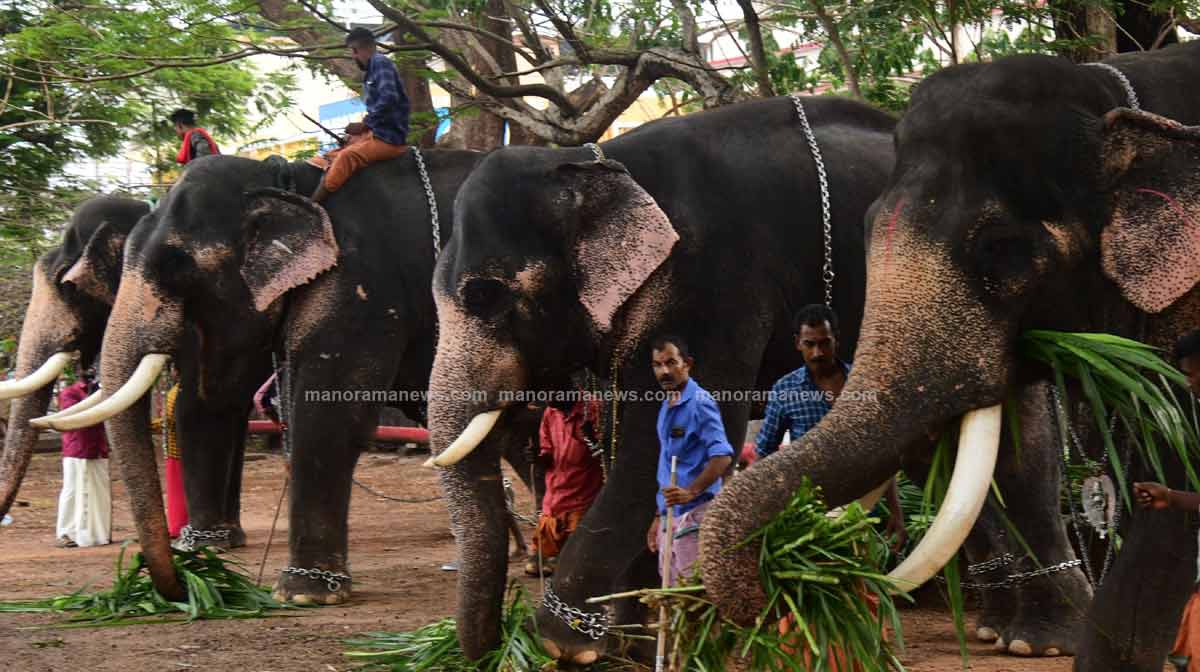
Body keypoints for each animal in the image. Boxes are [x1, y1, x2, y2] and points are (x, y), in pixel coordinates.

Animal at [50, 151, 549, 606]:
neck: (289, 180)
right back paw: (535, 560)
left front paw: (305, 593)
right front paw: (209, 552)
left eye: (176, 263)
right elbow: (214, 396)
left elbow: (328, 412)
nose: (174, 587)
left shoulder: (362, 283)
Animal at [425, 94, 899, 662]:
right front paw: (627, 644)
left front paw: (562, 643)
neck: (589, 162)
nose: (498, 645)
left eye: (483, 295)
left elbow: (652, 446)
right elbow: (626, 441)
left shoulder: (712, 281)